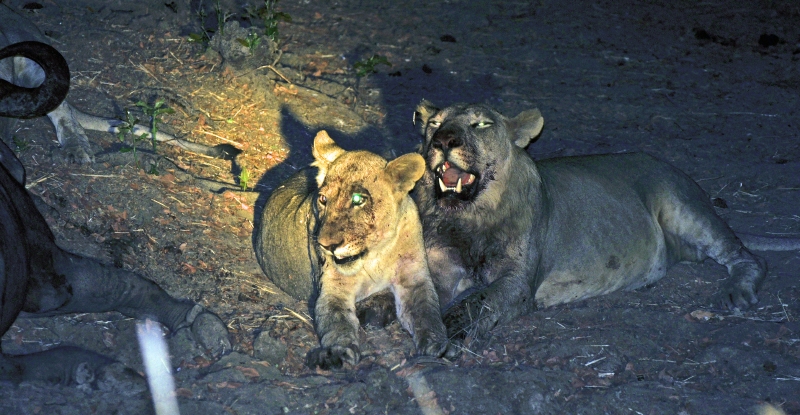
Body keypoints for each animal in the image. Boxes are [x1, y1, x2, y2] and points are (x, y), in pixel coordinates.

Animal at [254, 130, 455, 369]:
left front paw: (439, 345)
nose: (326, 245)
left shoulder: (415, 279)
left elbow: (428, 312)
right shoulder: (334, 289)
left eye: (358, 200)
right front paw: (340, 352)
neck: (377, 254)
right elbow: (338, 322)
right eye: (323, 199)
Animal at [412, 101, 800, 341]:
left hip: (684, 207)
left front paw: (450, 329)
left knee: (748, 256)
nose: (443, 140)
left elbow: (478, 301)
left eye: (481, 124)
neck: (469, 216)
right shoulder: (441, 266)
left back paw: (737, 292)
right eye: (433, 124)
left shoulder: (519, 283)